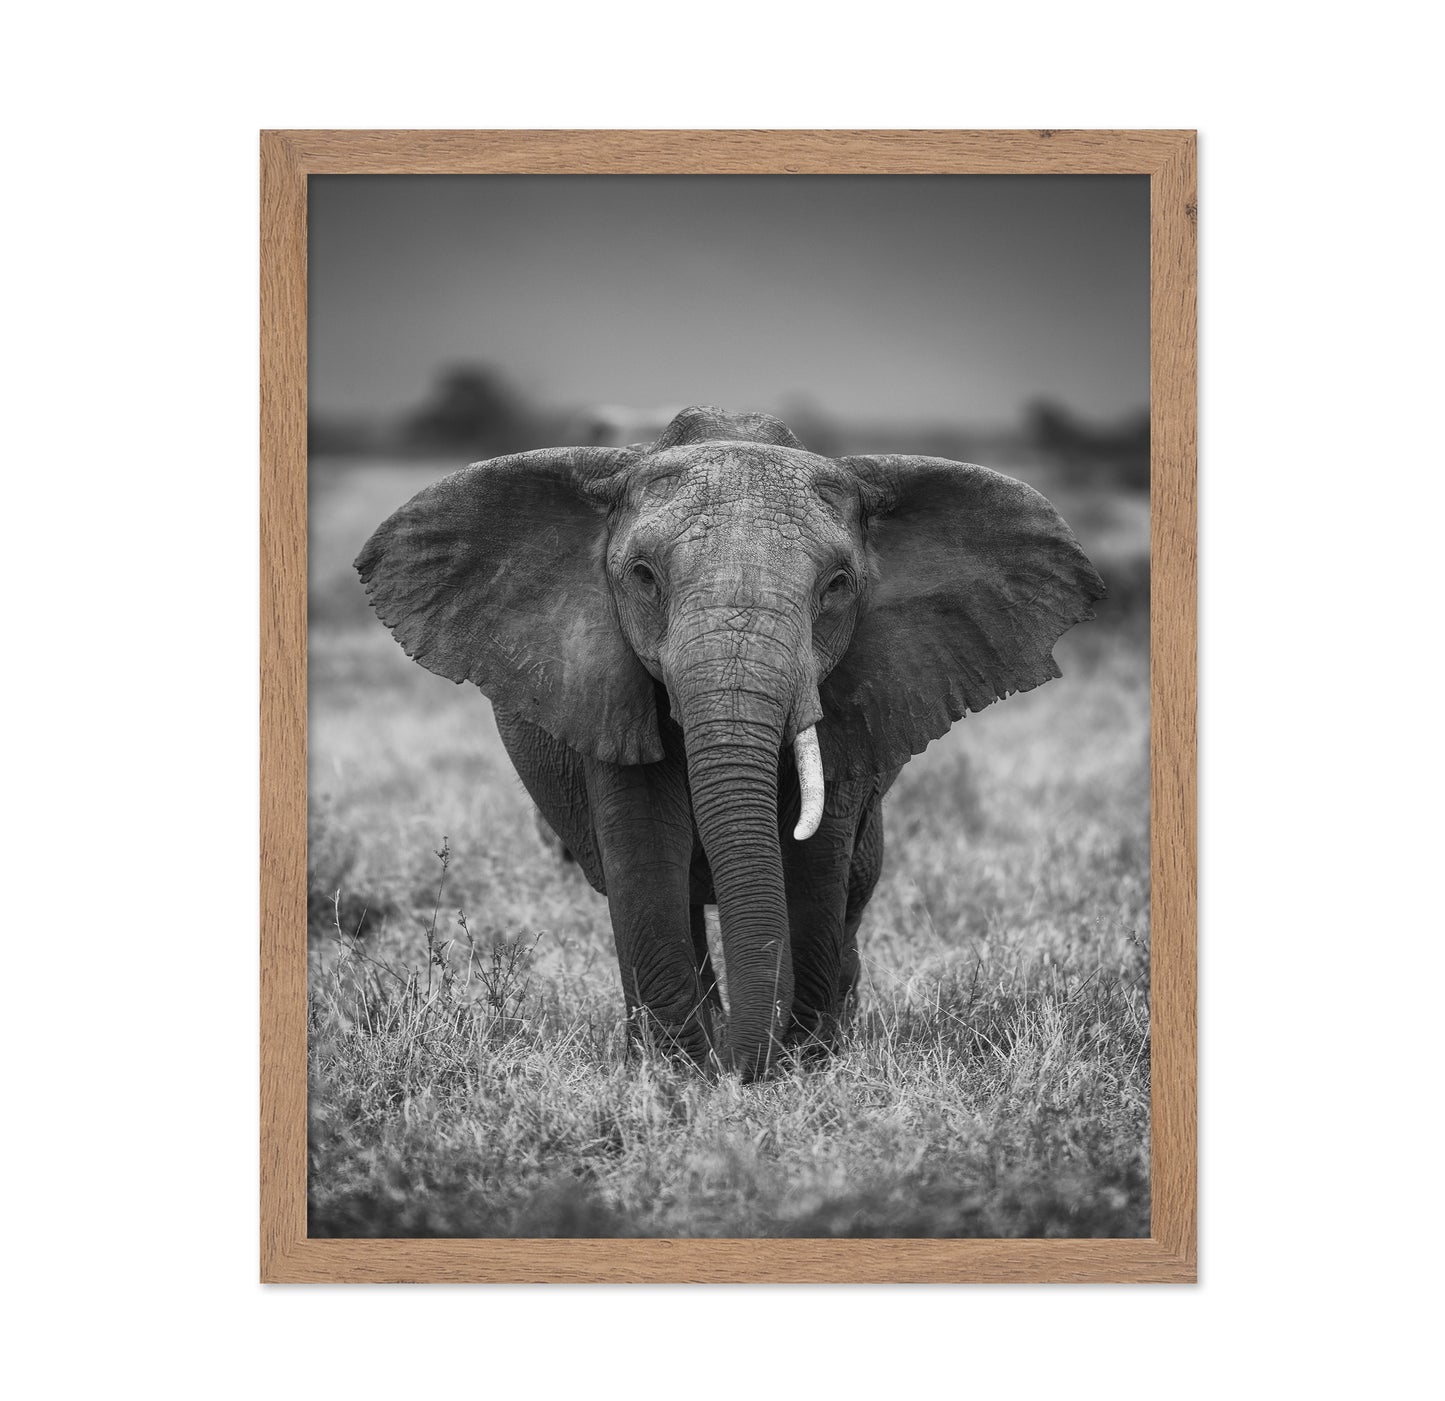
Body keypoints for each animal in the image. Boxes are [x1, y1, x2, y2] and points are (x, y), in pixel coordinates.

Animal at [356, 405, 1105, 1079]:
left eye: (837, 586)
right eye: (642, 576)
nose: (746, 1068)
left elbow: (816, 860)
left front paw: (798, 1065)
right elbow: (644, 850)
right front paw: (680, 1075)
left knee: (855, 885)